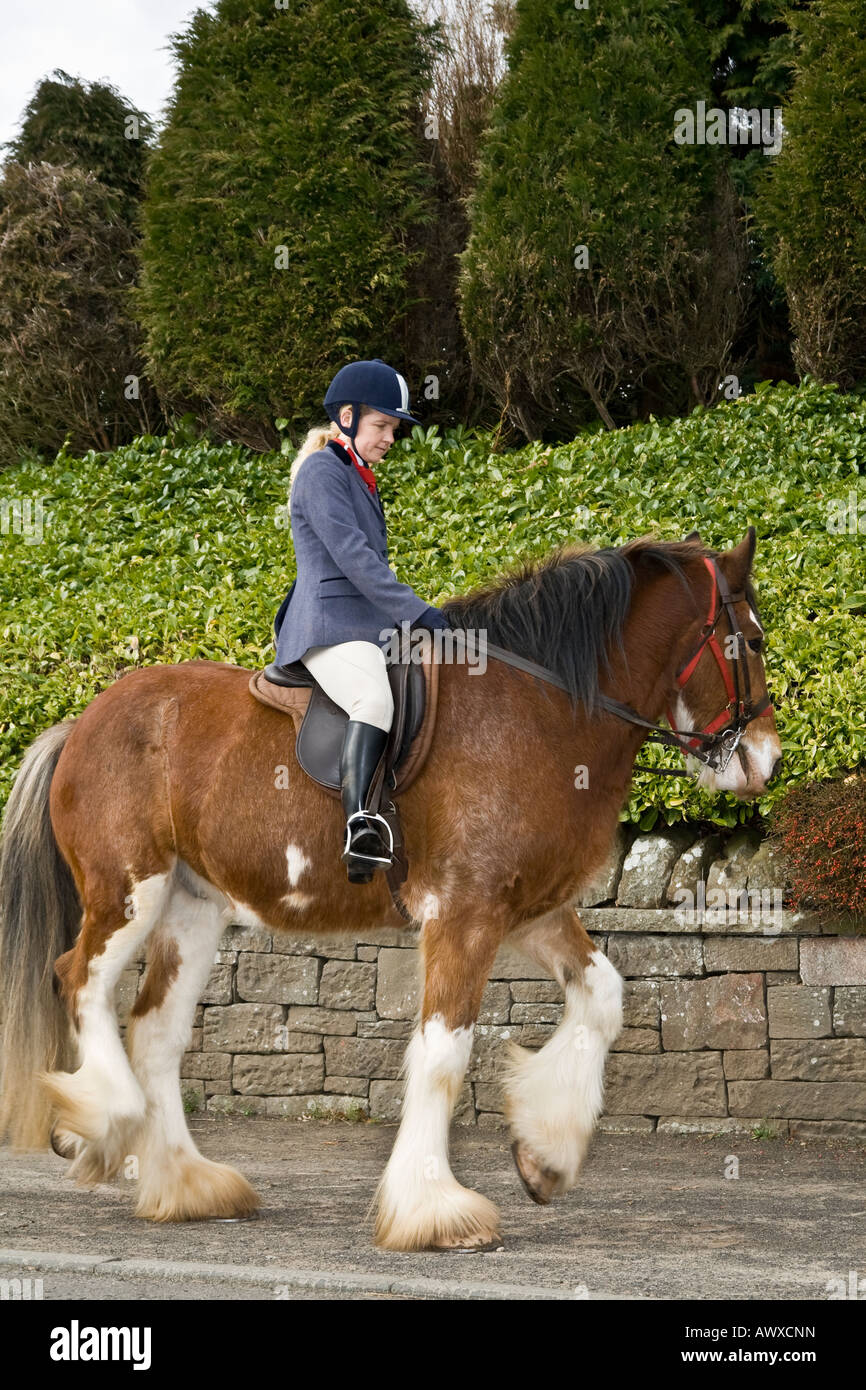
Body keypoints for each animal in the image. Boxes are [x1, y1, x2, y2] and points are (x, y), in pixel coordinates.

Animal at [0, 527, 780, 1252]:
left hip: (192, 907)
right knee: (79, 979)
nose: (766, 761)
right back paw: (106, 1123)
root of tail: (81, 723)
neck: (538, 708)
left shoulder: (528, 911)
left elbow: (604, 996)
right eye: (751, 639)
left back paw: (187, 1183)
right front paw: (434, 1210)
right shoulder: (464, 915)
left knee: (156, 1030)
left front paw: (546, 1156)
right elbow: (442, 1057)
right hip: (128, 892)